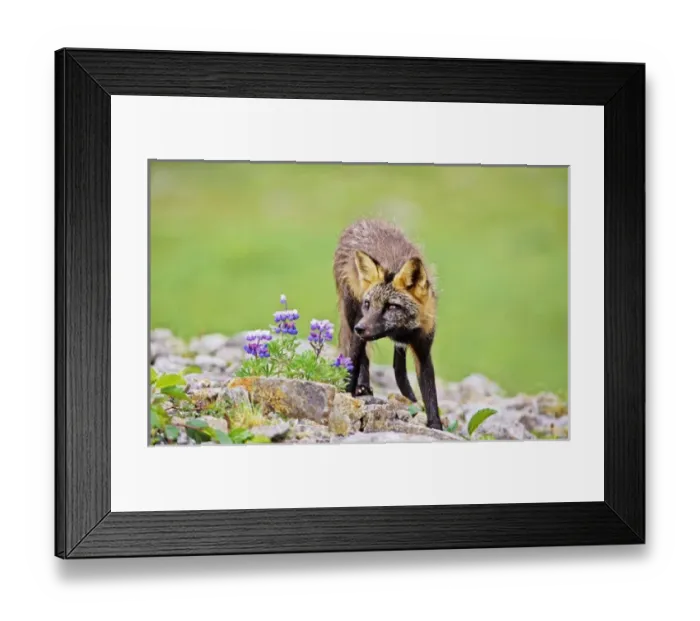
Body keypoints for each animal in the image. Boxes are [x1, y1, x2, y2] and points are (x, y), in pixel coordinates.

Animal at [333, 219, 443, 431]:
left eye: (391, 306)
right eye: (368, 304)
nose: (360, 328)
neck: (401, 331)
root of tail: (363, 220)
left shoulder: (423, 348)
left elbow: (430, 393)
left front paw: (435, 425)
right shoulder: (360, 326)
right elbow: (354, 364)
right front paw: (348, 395)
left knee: (398, 366)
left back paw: (407, 394)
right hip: (351, 316)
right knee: (363, 358)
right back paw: (363, 387)